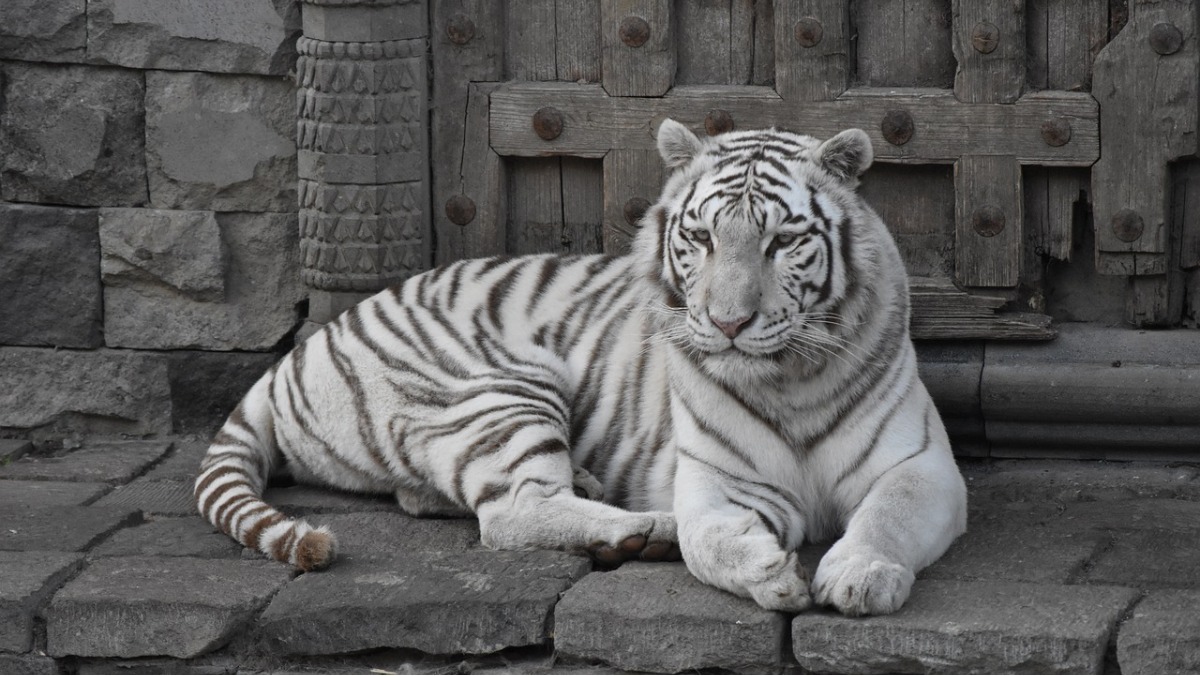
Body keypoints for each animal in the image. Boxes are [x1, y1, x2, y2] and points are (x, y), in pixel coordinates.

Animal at [195, 118, 967, 616]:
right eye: (701, 238)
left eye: (782, 242)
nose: (727, 324)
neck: (790, 381)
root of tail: (302, 348)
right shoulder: (718, 480)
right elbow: (710, 538)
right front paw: (771, 575)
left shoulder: (922, 466)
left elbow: (889, 514)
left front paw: (861, 577)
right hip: (501, 388)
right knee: (509, 512)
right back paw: (644, 530)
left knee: (439, 498)